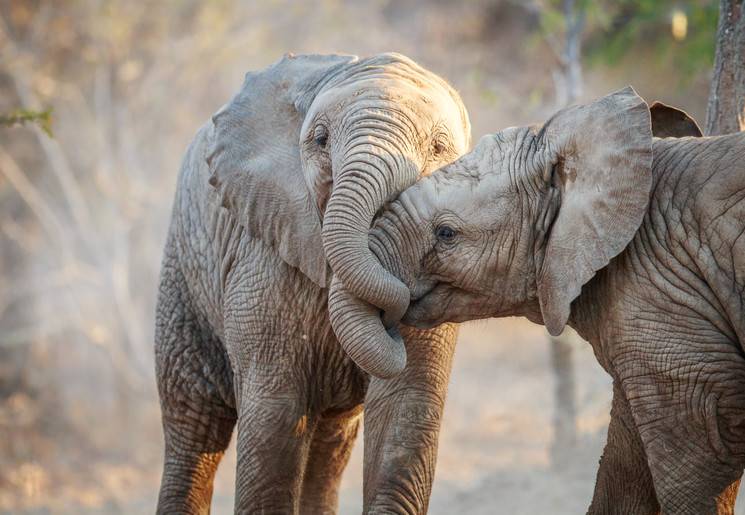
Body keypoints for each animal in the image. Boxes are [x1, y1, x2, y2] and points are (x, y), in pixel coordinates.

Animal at [155, 53, 470, 515]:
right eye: (320, 140)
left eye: (438, 149)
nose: (392, 316)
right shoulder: (262, 255)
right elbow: (276, 414)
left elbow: (405, 406)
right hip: (183, 271)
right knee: (193, 421)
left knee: (329, 443)